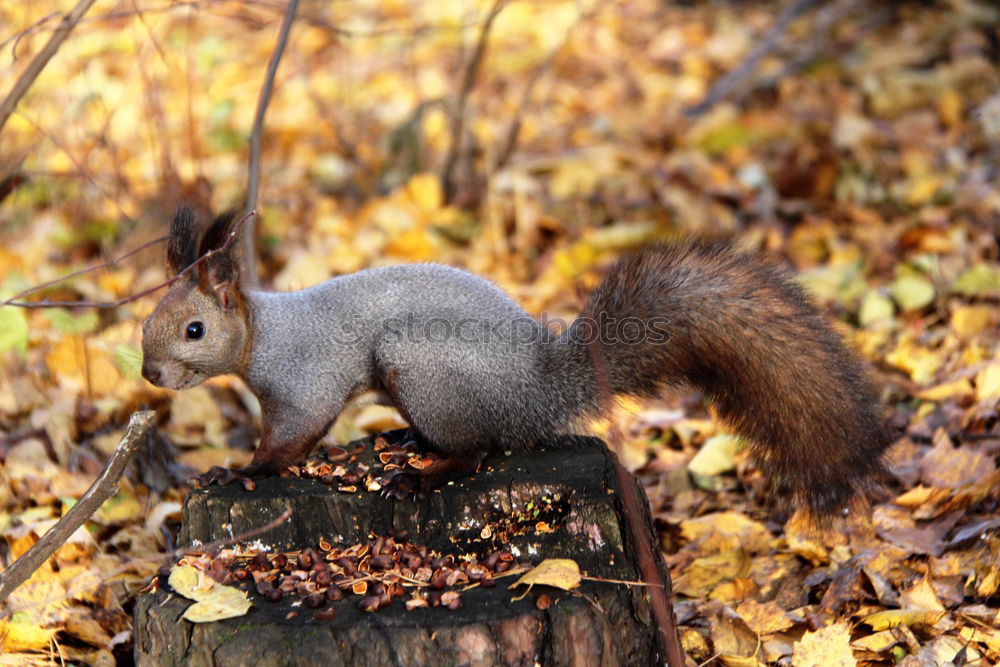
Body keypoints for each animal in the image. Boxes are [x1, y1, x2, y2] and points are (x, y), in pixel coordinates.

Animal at [141, 209, 892, 520]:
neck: (263, 333)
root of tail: (536, 391)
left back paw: (425, 472)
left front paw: (241, 472)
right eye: (147, 323)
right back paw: (404, 441)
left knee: (479, 449)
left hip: (419, 364)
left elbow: (293, 436)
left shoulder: (304, 380)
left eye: (194, 330)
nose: (150, 375)